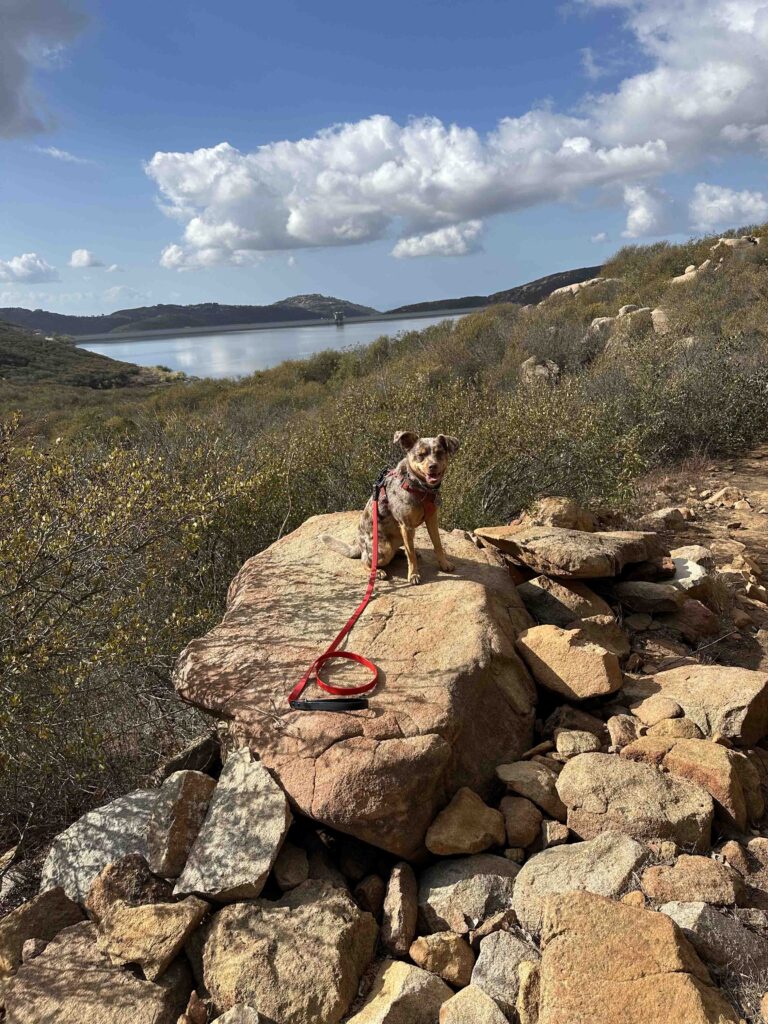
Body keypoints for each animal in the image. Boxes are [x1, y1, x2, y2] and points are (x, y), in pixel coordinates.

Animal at [319, 425, 460, 585]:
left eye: (440, 453)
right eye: (421, 455)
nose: (433, 466)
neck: (420, 488)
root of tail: (360, 547)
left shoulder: (431, 520)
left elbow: (438, 544)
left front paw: (444, 563)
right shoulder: (406, 525)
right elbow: (411, 555)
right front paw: (413, 574)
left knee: (400, 549)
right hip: (384, 548)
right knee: (366, 561)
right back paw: (378, 571)